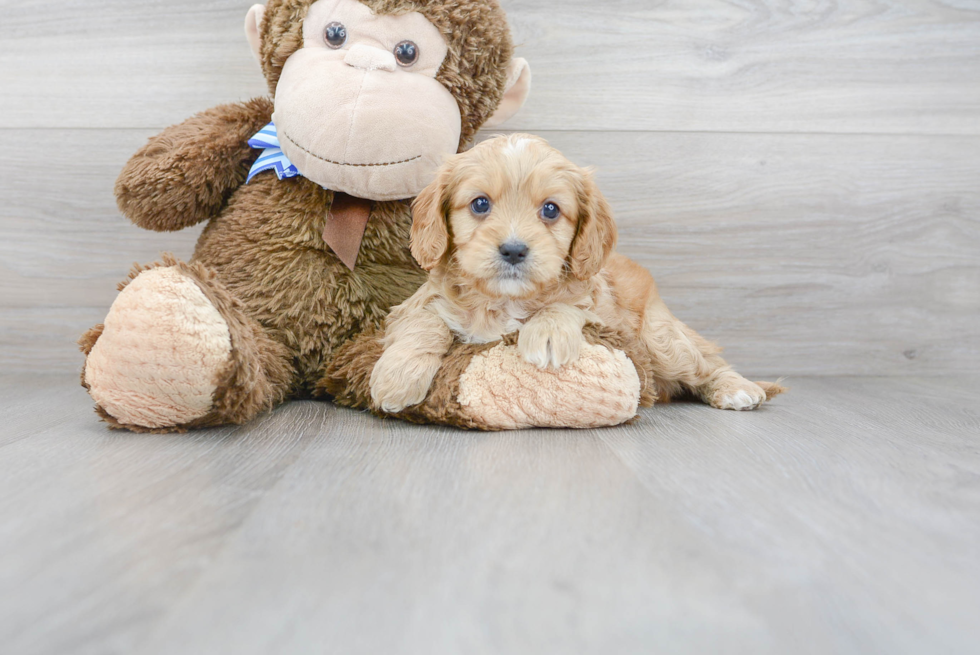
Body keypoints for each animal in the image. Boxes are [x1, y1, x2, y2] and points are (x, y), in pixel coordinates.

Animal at [372, 133, 784, 416]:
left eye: (551, 210)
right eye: (480, 204)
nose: (514, 250)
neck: (504, 300)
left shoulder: (599, 309)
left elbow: (569, 303)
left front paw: (547, 332)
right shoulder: (414, 305)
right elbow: (426, 322)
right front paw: (397, 375)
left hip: (661, 339)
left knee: (709, 363)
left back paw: (737, 388)